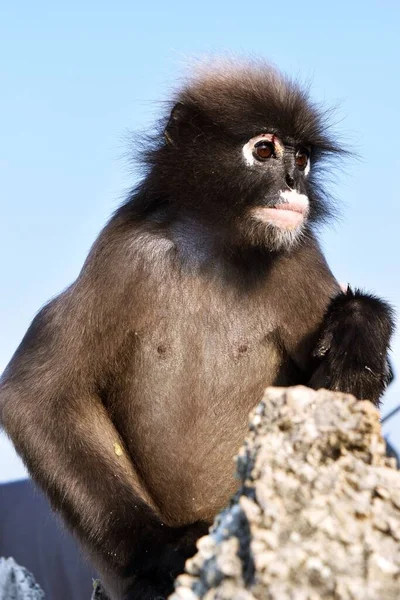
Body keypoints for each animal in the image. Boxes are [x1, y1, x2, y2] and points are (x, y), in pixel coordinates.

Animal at [0, 62, 394, 600]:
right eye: (264, 150)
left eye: (303, 157)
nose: (294, 180)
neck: (215, 246)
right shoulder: (122, 253)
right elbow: (34, 394)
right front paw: (160, 551)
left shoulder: (300, 256)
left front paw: (360, 329)